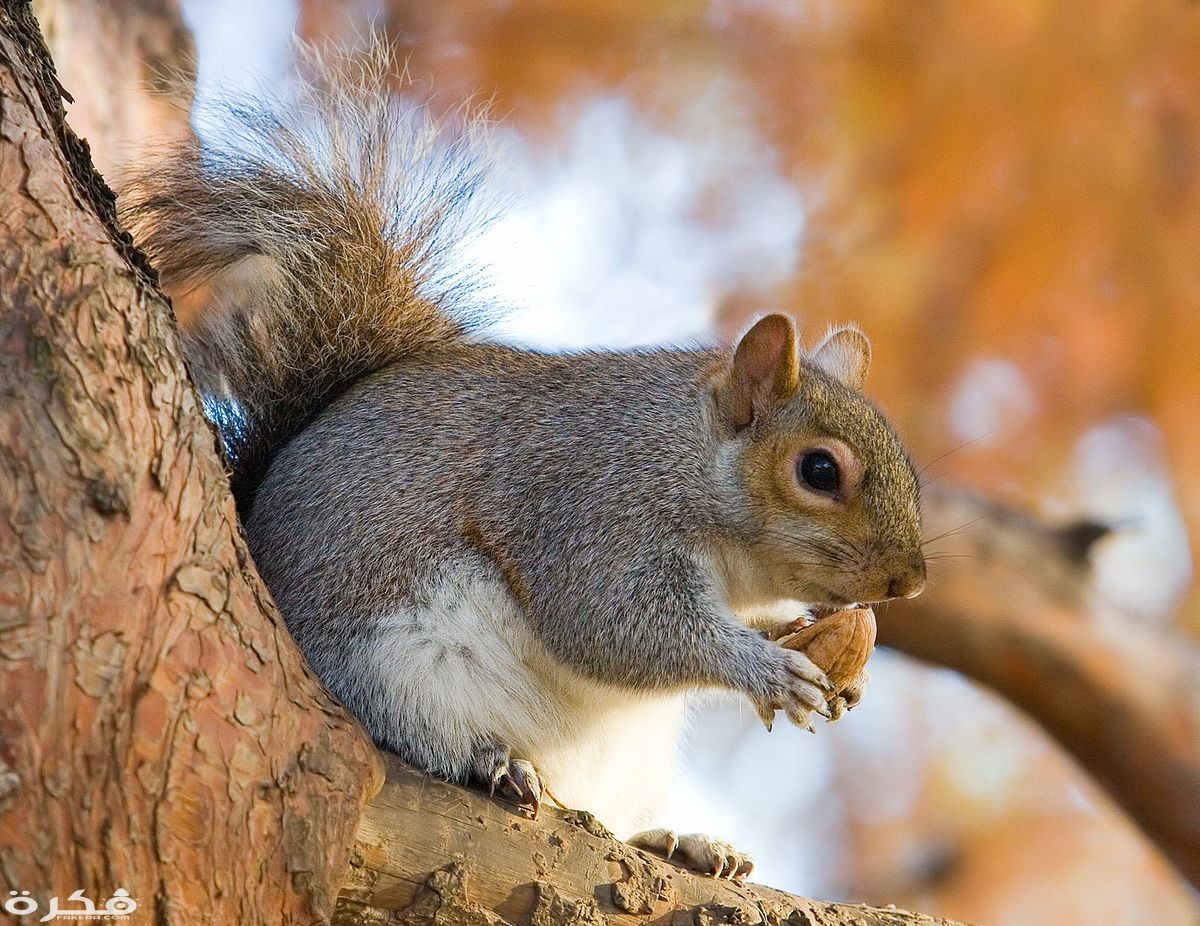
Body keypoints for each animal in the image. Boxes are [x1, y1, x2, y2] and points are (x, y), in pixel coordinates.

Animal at [119, 43, 926, 880]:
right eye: (820, 471)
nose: (910, 581)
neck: (686, 465)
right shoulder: (588, 510)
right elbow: (612, 625)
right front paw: (762, 668)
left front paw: (820, 651)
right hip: (391, 669)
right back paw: (492, 762)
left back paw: (679, 842)